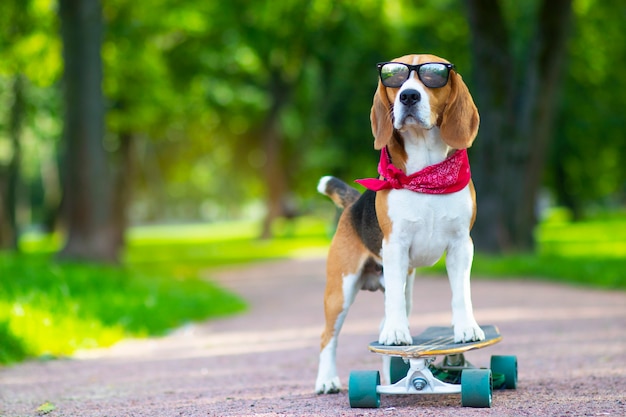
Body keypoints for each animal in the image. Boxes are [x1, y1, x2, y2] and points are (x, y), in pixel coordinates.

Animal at [314, 52, 480, 394]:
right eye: (395, 78)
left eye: (433, 75)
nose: (409, 96)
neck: (425, 176)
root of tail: (353, 202)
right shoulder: (395, 246)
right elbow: (392, 313)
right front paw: (396, 335)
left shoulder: (461, 245)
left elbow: (461, 293)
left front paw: (466, 328)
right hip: (340, 289)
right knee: (328, 337)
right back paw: (327, 380)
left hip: (406, 284)